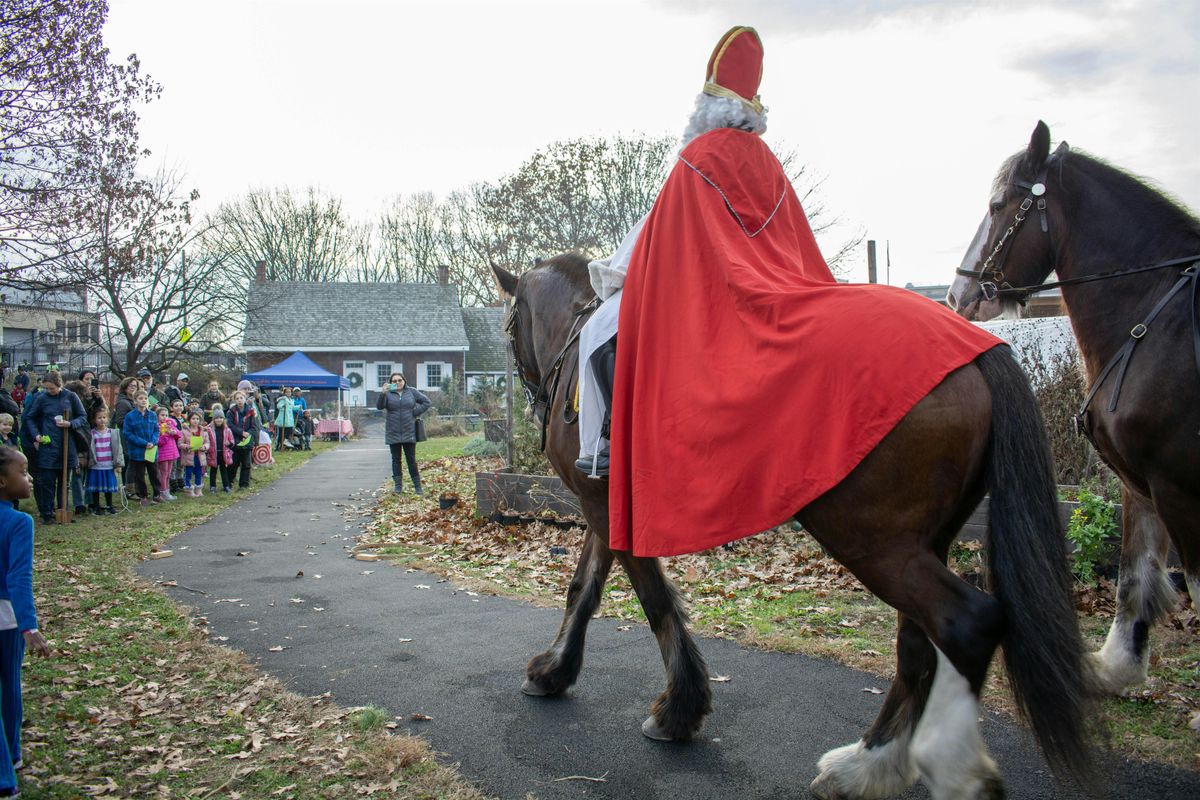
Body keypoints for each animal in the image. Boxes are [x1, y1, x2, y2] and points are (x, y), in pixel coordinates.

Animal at [492, 257, 1094, 800]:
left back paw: (939, 769)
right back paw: (869, 766)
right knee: (919, 642)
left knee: (964, 623)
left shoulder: (603, 505)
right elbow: (584, 588)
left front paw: (678, 712)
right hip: (921, 543)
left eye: (508, 325)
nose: (533, 400)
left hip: (871, 540)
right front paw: (554, 671)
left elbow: (653, 601)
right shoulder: (601, 504)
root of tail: (975, 347)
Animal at [950, 118, 1195, 695]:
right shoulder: (1143, 480)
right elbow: (1135, 571)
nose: (956, 294)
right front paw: (1116, 666)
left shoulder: (1178, 486)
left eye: (997, 205)